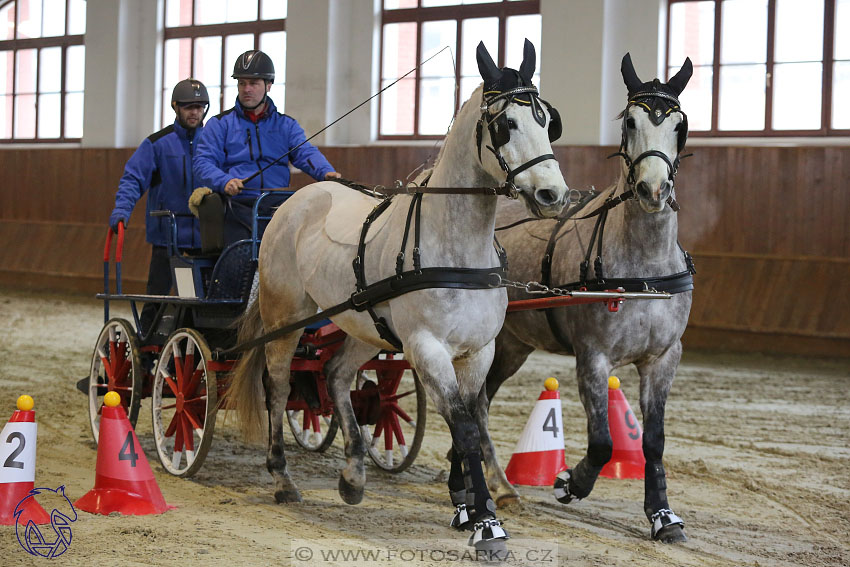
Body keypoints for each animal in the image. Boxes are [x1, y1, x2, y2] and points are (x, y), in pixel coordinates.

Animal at [229, 41, 568, 552]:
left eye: (548, 122)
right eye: (505, 124)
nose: (553, 194)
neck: (457, 249)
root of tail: (294, 201)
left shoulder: (478, 351)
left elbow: (474, 419)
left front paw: (471, 503)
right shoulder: (426, 348)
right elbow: (463, 424)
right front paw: (486, 522)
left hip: (363, 326)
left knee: (335, 374)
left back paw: (353, 475)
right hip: (285, 316)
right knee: (279, 386)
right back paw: (283, 478)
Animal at [474, 54, 692, 544]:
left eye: (679, 125)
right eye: (629, 122)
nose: (653, 190)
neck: (644, 269)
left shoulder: (663, 358)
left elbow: (653, 441)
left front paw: (662, 515)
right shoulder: (593, 357)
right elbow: (603, 441)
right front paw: (569, 482)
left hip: (512, 346)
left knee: (479, 402)